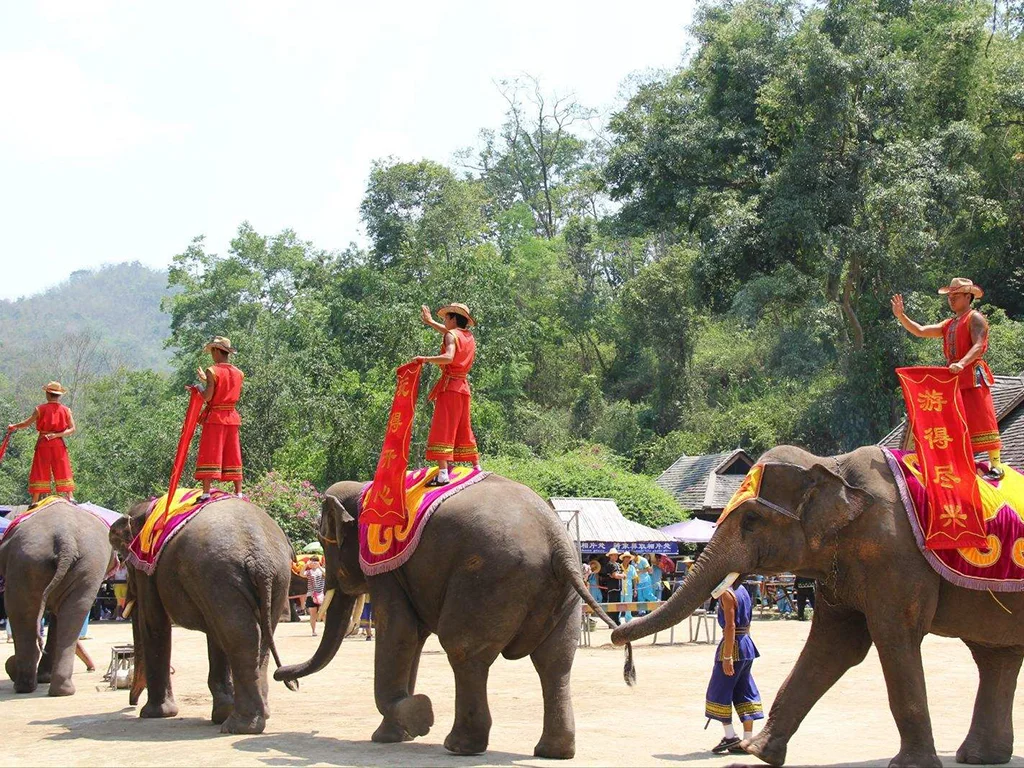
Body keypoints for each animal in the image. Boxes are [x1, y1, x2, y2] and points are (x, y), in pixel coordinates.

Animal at [0, 500, 115, 696]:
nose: (91, 668)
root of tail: (65, 538)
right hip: (85, 564)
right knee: (73, 612)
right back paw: (58, 688)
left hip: (27, 562)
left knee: (21, 612)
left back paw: (25, 684)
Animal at [109, 496, 298, 734]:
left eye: (126, 563)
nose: (131, 704)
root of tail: (260, 558)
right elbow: (215, 634)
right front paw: (221, 711)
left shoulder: (149, 569)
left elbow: (154, 623)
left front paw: (154, 714)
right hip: (272, 578)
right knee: (254, 634)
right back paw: (258, 715)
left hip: (219, 573)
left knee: (241, 636)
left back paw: (239, 726)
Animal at [274, 474, 633, 759]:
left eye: (325, 543)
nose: (286, 678)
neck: (364, 488)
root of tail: (557, 539)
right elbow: (414, 636)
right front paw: (394, 734)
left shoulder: (384, 567)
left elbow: (400, 630)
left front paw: (417, 717)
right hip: (561, 593)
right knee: (555, 660)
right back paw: (553, 752)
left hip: (487, 578)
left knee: (464, 650)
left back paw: (460, 746)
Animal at [612, 444, 1024, 768]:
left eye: (751, 519)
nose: (619, 641)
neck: (831, 465)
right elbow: (833, 646)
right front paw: (759, 751)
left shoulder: (896, 555)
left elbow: (894, 640)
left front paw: (910, 766)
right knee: (995, 656)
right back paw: (980, 757)